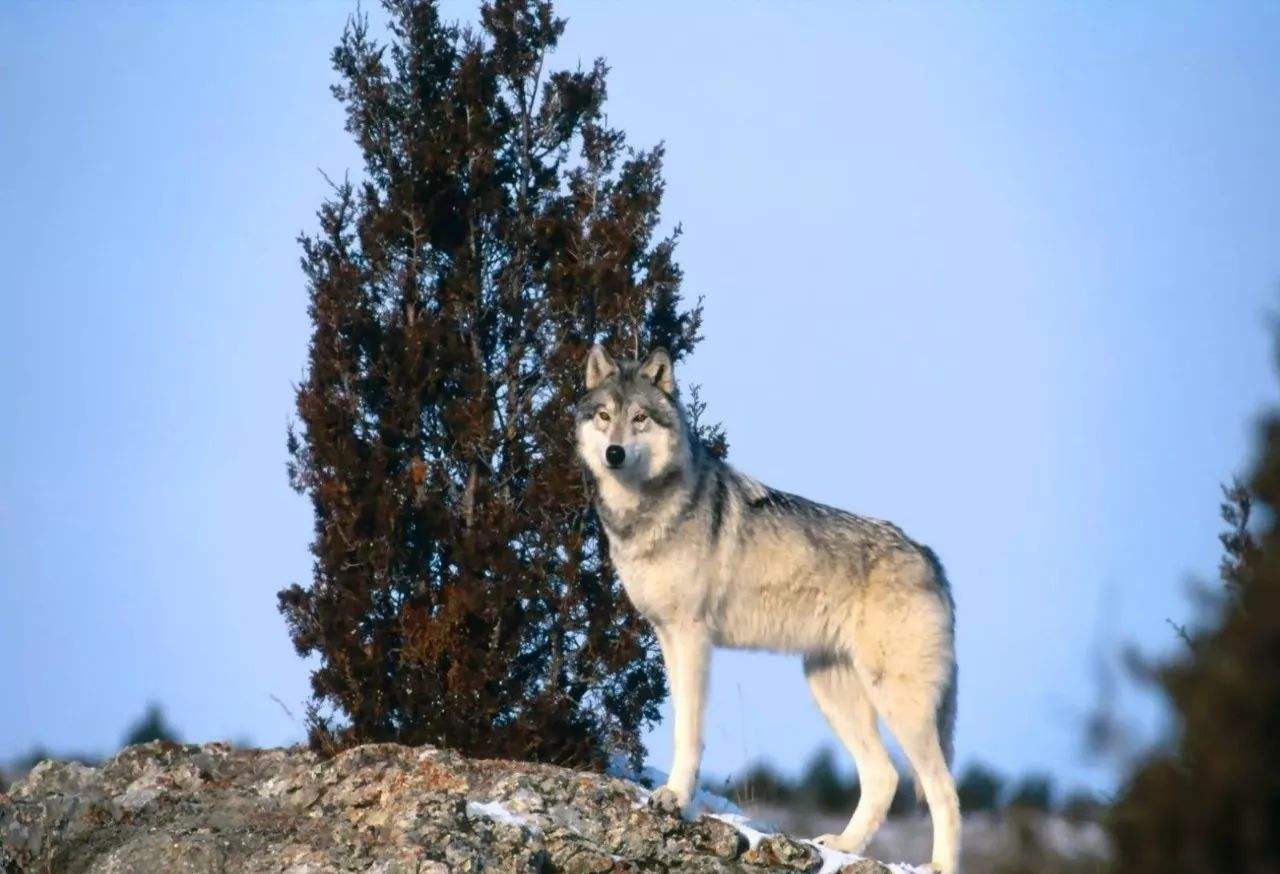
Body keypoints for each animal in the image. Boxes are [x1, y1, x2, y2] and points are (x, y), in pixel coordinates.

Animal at [578, 345, 962, 870]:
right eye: (604, 416)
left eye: (639, 418)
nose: (614, 453)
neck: (648, 512)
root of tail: (929, 556)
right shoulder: (667, 636)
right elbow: (681, 722)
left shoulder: (693, 636)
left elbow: (689, 729)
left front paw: (675, 798)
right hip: (829, 689)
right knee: (884, 777)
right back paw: (843, 846)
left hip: (900, 704)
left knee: (944, 789)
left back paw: (937, 863)